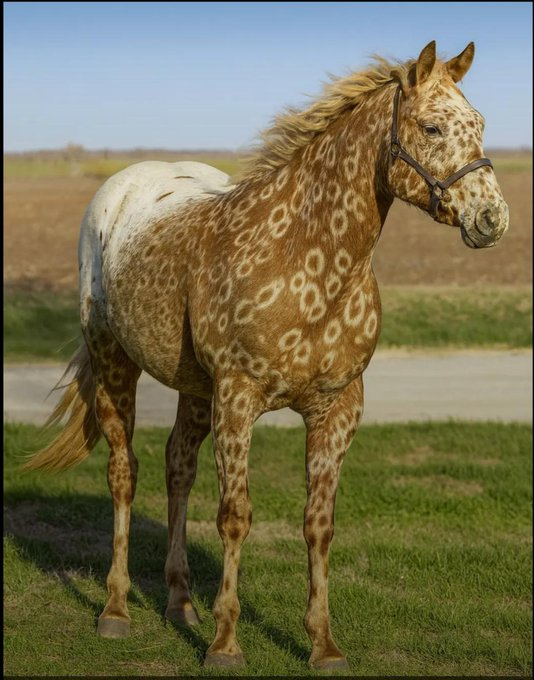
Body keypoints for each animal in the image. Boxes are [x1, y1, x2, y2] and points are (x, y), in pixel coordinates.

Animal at [25, 40, 508, 671]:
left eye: (479, 125)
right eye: (431, 127)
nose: (492, 219)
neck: (305, 260)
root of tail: (121, 190)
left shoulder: (337, 409)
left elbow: (318, 525)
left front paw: (323, 645)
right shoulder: (238, 399)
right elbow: (235, 517)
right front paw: (226, 645)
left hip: (194, 389)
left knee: (177, 468)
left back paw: (180, 603)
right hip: (114, 364)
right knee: (123, 474)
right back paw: (116, 609)